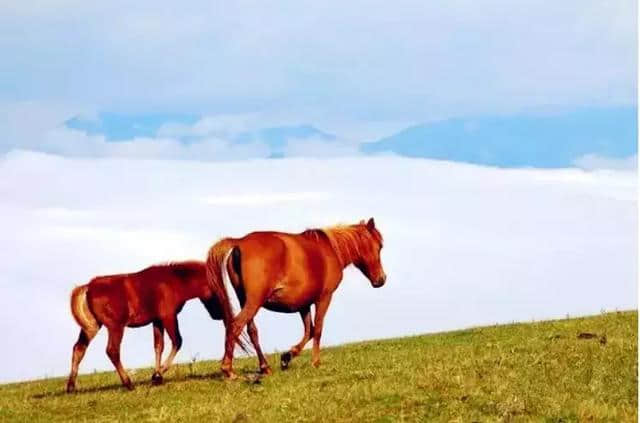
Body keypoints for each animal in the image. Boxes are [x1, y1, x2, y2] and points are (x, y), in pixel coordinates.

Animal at [66, 262, 239, 394]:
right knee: (112, 351)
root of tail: (88, 287)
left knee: (79, 348)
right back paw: (128, 383)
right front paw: (157, 375)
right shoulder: (168, 317)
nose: (219, 314)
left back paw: (71, 387)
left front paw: (157, 375)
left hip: (92, 327)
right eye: (216, 288)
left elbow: (158, 346)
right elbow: (177, 341)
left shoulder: (157, 321)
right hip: (115, 327)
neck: (174, 282)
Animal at [208, 219, 384, 378]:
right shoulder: (324, 298)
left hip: (245, 301)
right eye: (379, 246)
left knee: (252, 331)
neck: (331, 250)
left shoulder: (303, 305)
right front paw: (315, 362)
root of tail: (240, 242)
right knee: (235, 326)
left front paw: (287, 356)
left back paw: (265, 367)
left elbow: (309, 331)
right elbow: (317, 329)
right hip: (254, 302)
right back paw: (228, 370)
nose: (381, 279)